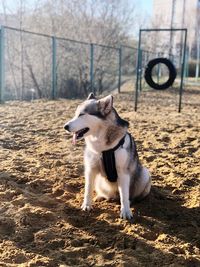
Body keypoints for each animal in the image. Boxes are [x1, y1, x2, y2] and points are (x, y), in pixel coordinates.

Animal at [64, 93, 152, 221]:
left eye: (81, 114)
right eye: (75, 114)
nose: (65, 126)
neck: (103, 148)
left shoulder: (123, 173)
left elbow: (124, 195)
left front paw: (126, 211)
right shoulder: (90, 169)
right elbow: (88, 189)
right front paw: (87, 205)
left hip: (145, 174)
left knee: (130, 195)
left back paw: (131, 201)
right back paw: (100, 197)